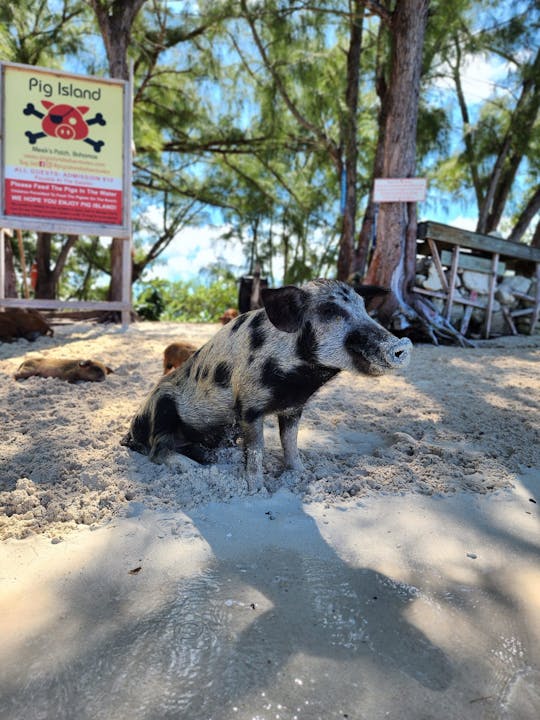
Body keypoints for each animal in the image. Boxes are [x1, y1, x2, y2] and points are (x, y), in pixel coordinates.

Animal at [120, 278, 412, 490]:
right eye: (329, 311)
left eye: (364, 309)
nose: (402, 344)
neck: (298, 380)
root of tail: (134, 430)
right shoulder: (248, 406)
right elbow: (255, 449)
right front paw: (257, 489)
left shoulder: (294, 408)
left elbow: (290, 442)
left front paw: (301, 474)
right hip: (162, 408)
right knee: (157, 450)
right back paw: (194, 468)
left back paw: (208, 458)